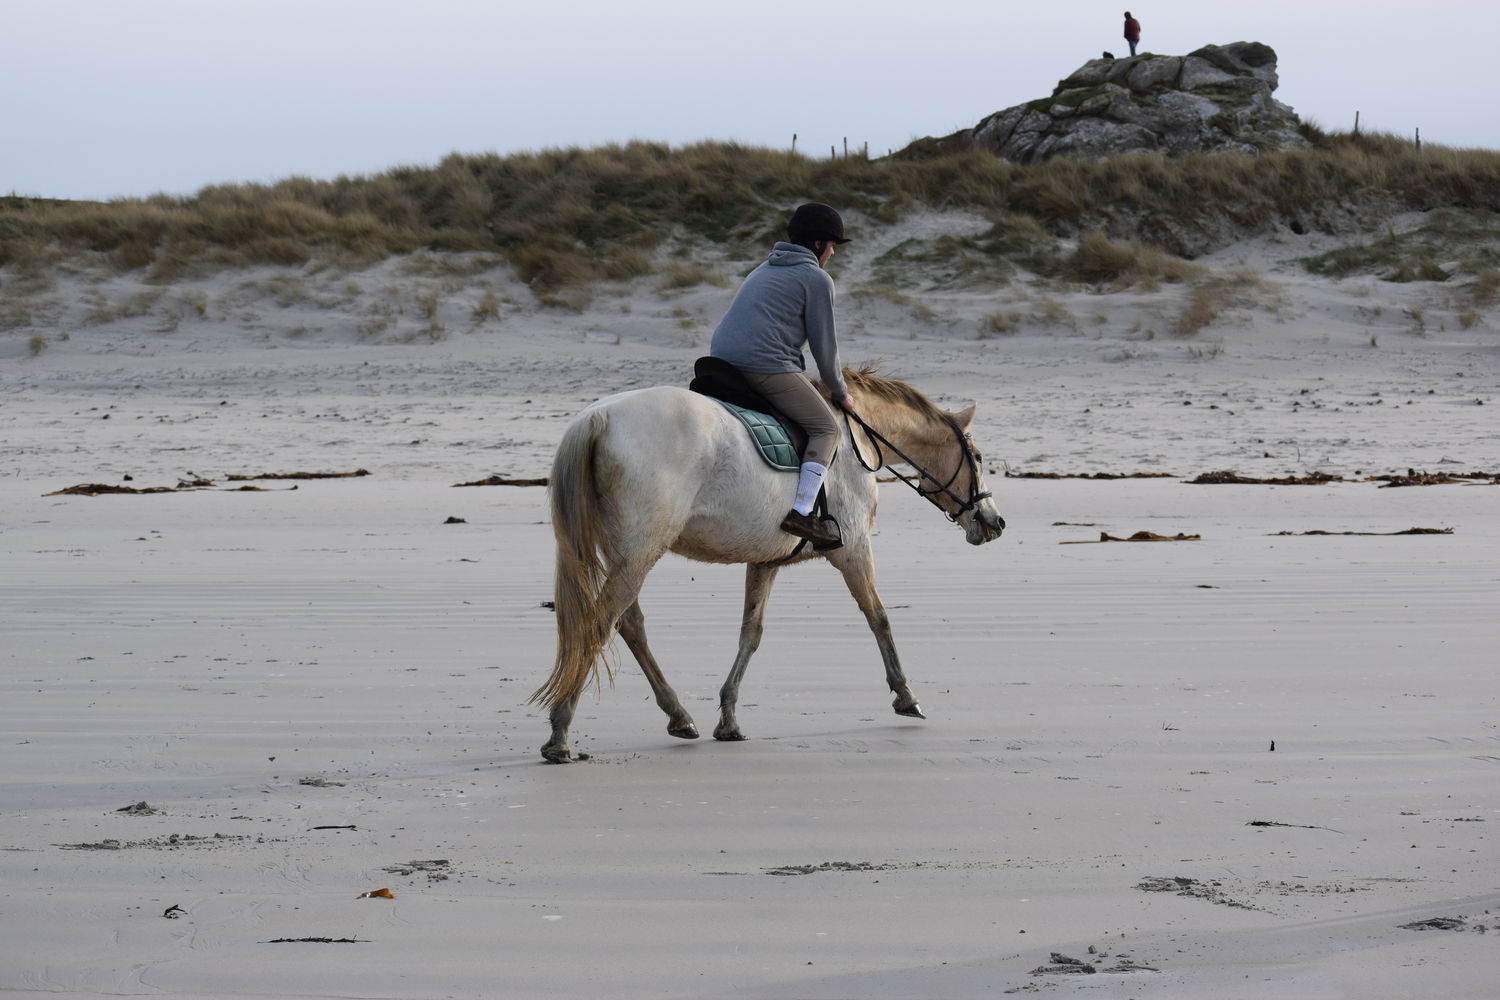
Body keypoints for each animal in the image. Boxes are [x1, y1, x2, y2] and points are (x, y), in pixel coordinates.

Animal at [531, 364, 1008, 761]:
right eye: (979, 458)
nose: (995, 521)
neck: (856, 440)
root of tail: (599, 417)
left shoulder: (766, 562)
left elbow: (751, 633)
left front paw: (728, 718)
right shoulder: (853, 550)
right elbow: (879, 617)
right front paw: (905, 694)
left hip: (628, 555)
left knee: (628, 625)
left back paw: (678, 715)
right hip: (639, 554)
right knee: (599, 623)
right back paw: (560, 732)